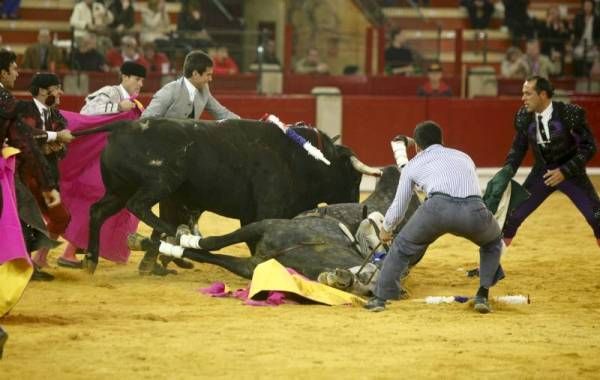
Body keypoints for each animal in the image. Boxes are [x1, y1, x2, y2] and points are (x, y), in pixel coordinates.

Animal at [82, 117, 382, 272]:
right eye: (355, 178)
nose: (356, 206)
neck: (302, 158)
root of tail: (121, 125)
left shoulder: (251, 215)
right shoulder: (268, 209)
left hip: (119, 189)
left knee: (98, 211)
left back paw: (92, 260)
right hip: (161, 181)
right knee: (139, 205)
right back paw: (176, 233)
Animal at [132, 168, 422, 280]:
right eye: (379, 223)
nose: (391, 170)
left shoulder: (251, 260)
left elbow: (211, 249)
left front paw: (168, 242)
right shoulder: (259, 235)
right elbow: (212, 246)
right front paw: (164, 241)